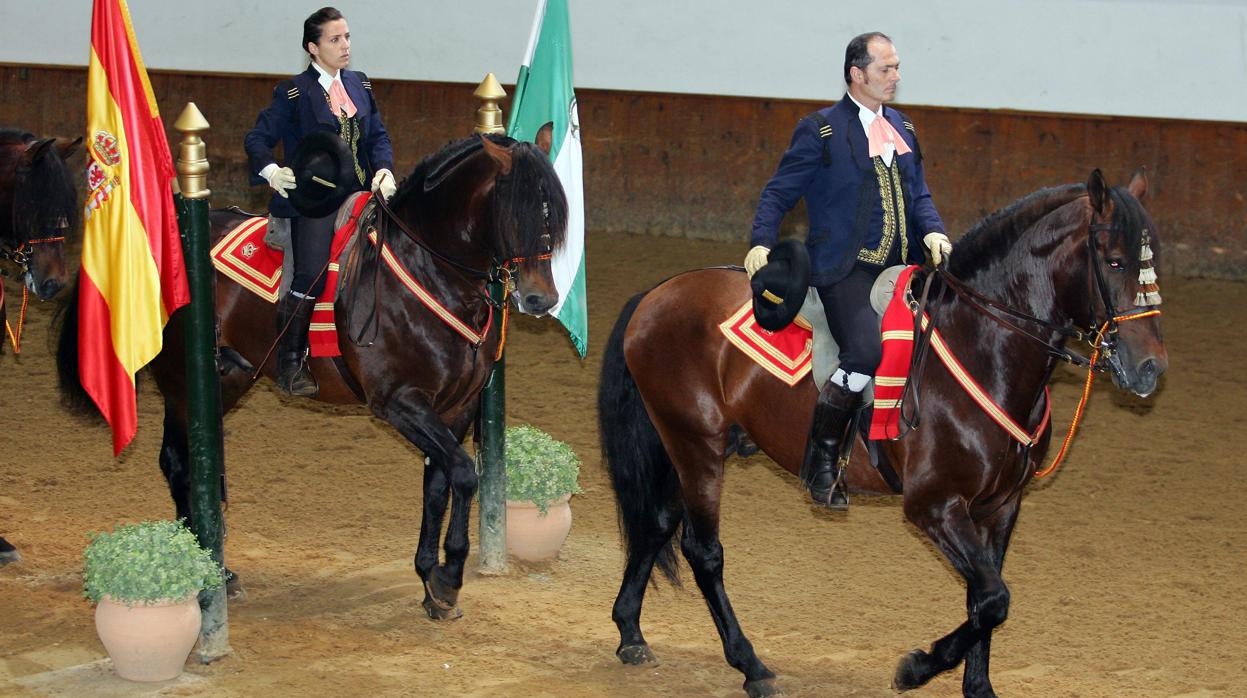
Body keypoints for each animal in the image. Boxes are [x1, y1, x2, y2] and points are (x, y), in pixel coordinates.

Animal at [56, 128, 568, 613]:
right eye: (518, 213)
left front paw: (431, 580)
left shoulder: (456, 406)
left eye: (554, 216)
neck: (430, 269)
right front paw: (448, 577)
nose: (540, 299)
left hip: (227, 378)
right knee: (179, 464)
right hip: (184, 383)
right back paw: (212, 576)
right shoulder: (399, 402)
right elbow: (463, 474)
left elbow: (441, 483)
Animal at [598, 170, 1162, 698]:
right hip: (695, 444)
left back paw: (631, 633)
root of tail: (658, 293)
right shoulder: (934, 505)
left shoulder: (1001, 507)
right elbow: (994, 599)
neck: (984, 345)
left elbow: (985, 598)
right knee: (702, 550)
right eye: (1115, 262)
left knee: (656, 522)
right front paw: (915, 668)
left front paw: (977, 685)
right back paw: (751, 665)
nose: (1151, 368)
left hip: (682, 444)